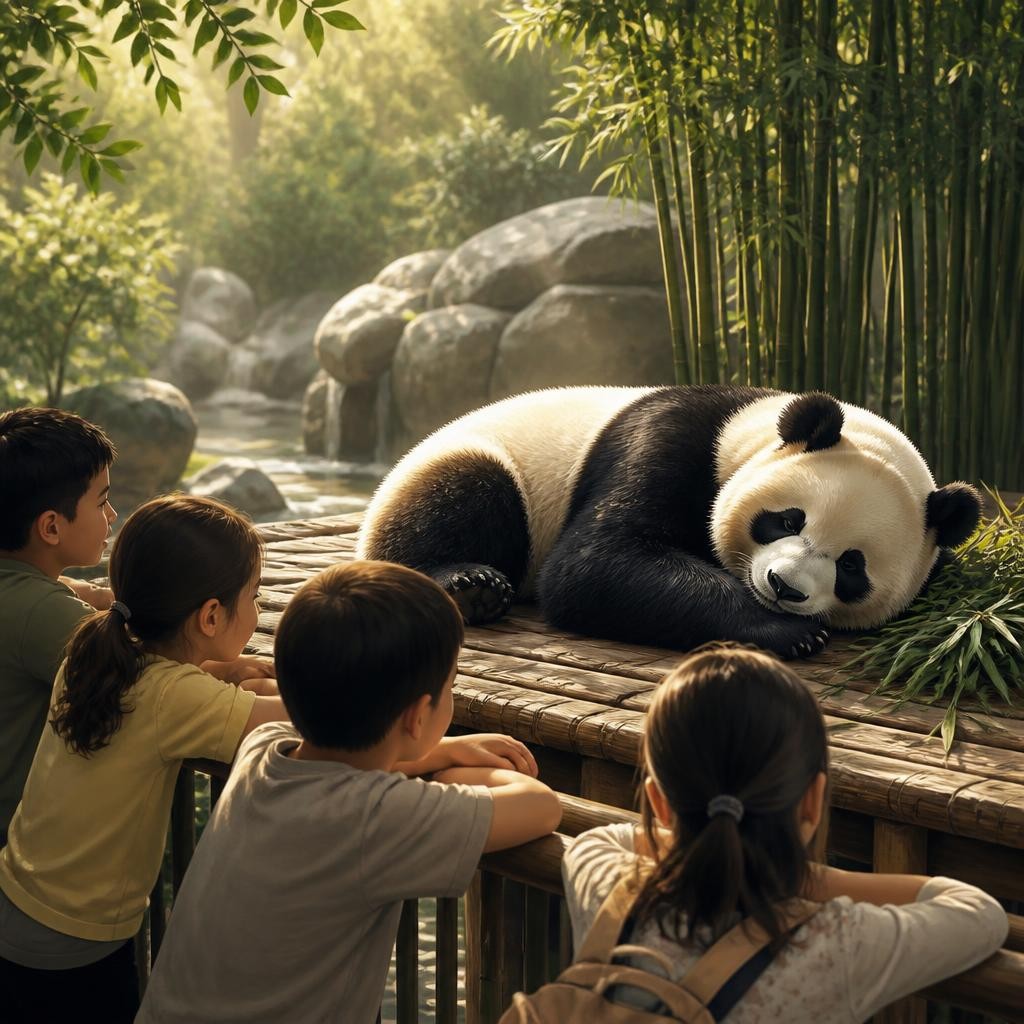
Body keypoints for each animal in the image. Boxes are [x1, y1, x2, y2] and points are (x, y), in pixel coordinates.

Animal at [357, 386, 981, 659]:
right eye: (786, 519)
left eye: (852, 567)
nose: (783, 588)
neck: (747, 430)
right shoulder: (671, 439)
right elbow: (597, 564)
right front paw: (788, 633)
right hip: (474, 464)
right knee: (464, 496)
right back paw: (471, 586)